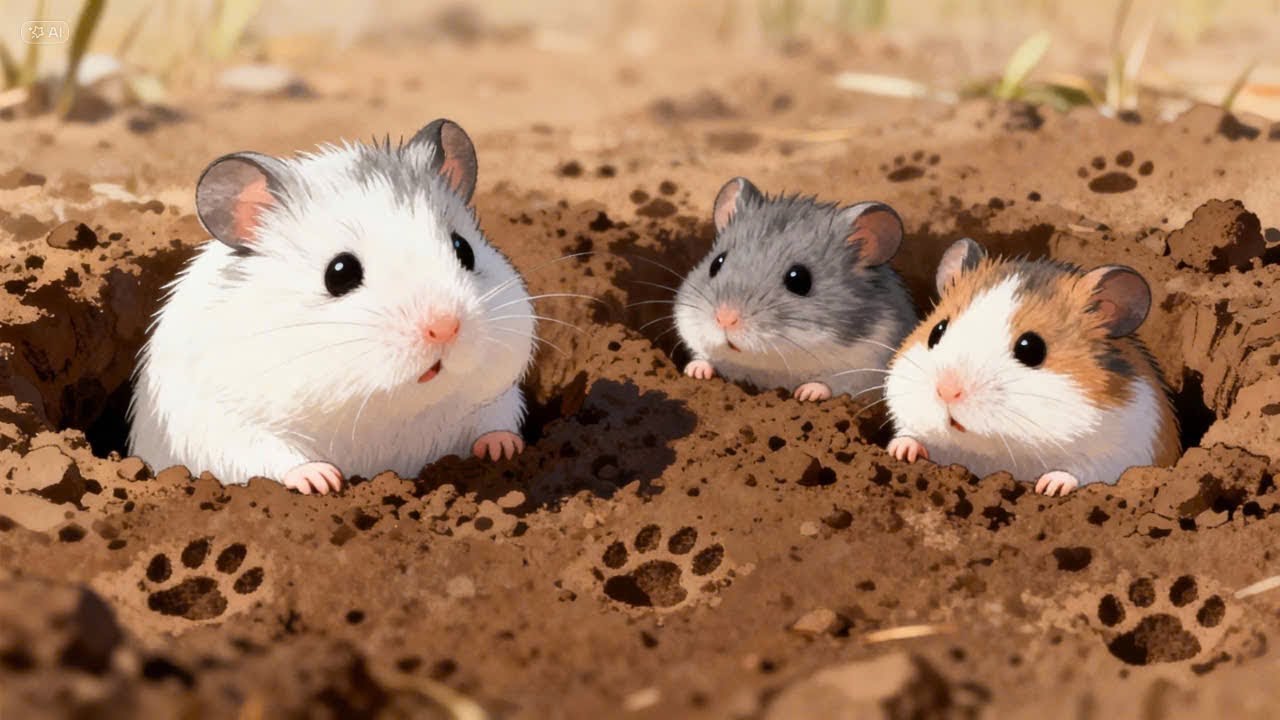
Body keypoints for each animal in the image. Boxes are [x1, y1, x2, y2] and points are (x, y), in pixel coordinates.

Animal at [128, 119, 536, 494]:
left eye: (463, 249)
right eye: (339, 273)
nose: (445, 328)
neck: (385, 413)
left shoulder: (500, 396)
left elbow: (492, 421)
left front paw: (504, 449)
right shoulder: (223, 420)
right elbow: (270, 453)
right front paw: (323, 480)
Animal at [674, 177, 917, 402]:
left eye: (799, 280)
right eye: (716, 263)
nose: (724, 319)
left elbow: (830, 385)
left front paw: (807, 393)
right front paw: (695, 370)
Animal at [885, 238, 1181, 496]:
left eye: (1031, 348)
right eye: (936, 331)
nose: (946, 391)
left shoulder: (1121, 453)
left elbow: (1080, 472)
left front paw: (1050, 486)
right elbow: (912, 435)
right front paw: (901, 450)